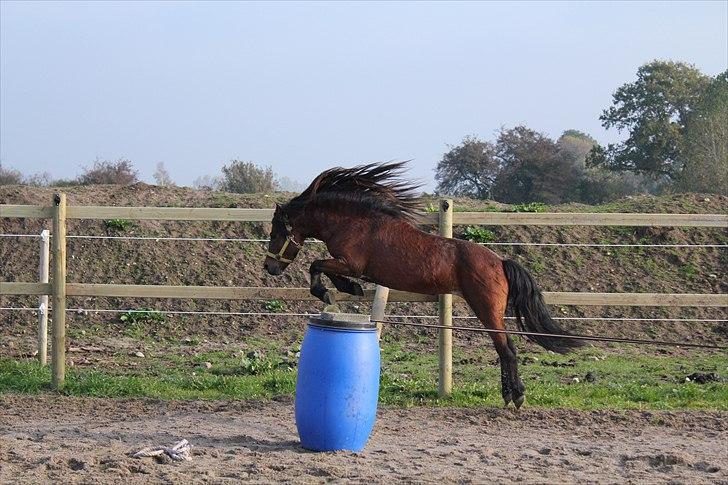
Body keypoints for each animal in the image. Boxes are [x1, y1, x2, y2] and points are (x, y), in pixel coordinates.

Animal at [264, 163, 584, 408]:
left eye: (277, 231)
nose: (269, 268)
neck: (355, 222)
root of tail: (500, 262)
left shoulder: (351, 264)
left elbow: (316, 265)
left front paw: (333, 290)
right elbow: (322, 268)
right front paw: (347, 289)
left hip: (487, 311)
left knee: (507, 350)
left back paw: (514, 397)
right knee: (506, 349)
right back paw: (511, 395)